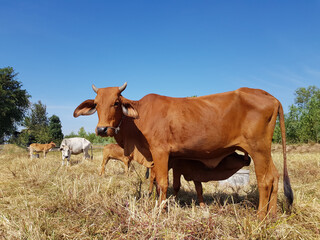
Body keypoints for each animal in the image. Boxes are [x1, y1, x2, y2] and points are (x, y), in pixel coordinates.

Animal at [74, 82, 292, 219]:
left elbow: (163, 183)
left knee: (265, 181)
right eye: (96, 104)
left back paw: (260, 217)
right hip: (265, 151)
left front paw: (160, 211)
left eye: (116, 102)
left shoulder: (160, 152)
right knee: (275, 176)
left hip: (258, 149)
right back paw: (272, 214)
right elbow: (162, 183)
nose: (102, 129)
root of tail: (271, 97)